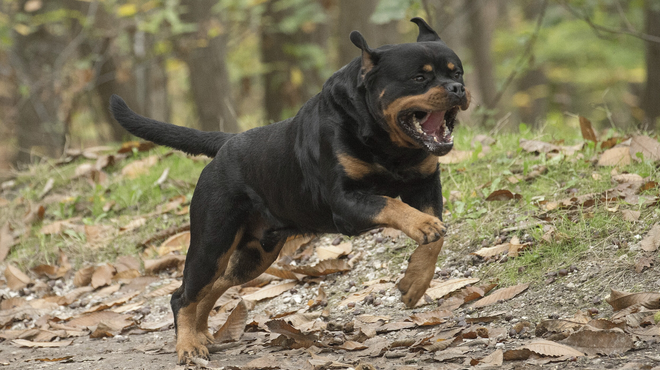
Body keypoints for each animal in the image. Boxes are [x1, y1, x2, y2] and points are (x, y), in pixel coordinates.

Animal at [109, 18, 470, 364]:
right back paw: (187, 346)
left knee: (215, 286)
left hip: (256, 255)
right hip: (212, 243)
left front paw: (415, 282)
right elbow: (392, 206)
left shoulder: (425, 186)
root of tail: (225, 144)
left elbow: (433, 241)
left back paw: (200, 335)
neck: (388, 144)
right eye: (419, 78)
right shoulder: (346, 203)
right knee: (183, 295)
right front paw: (422, 226)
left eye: (458, 72)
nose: (458, 88)